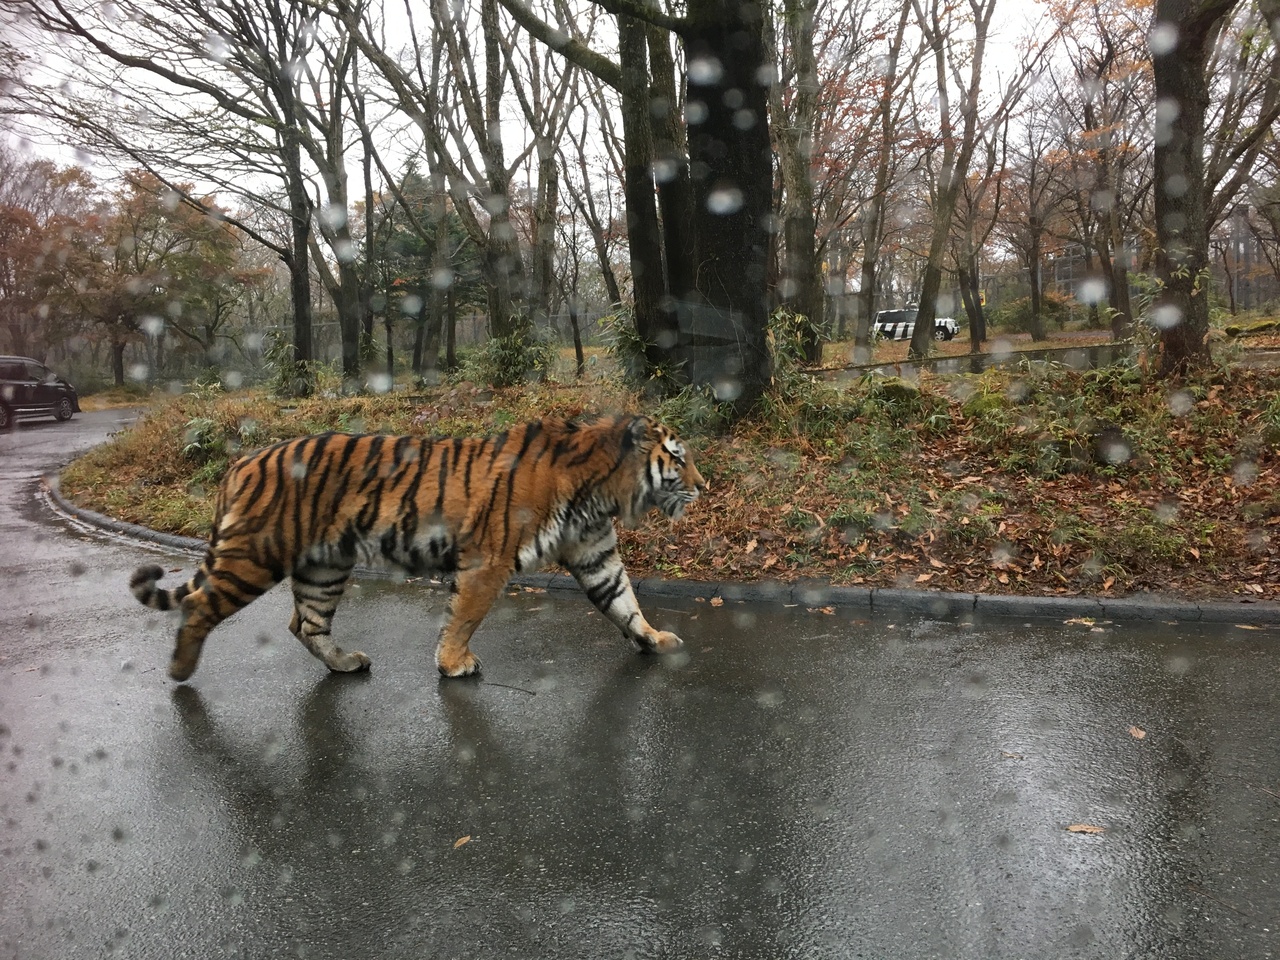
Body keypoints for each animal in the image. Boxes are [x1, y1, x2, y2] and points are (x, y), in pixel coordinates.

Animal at [127, 417, 711, 680]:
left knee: (306, 624)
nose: (705, 486)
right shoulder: (488, 561)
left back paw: (346, 663)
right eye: (679, 460)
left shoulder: (594, 554)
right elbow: (465, 616)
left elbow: (623, 602)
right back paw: (179, 670)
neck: (601, 492)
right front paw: (453, 664)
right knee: (199, 604)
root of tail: (240, 462)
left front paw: (655, 640)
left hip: (324, 565)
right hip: (256, 555)